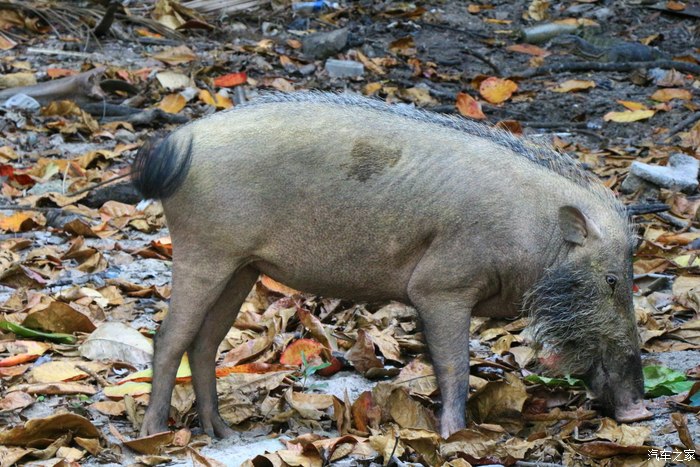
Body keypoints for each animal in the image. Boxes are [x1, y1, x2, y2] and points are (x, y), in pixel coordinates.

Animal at [131, 92, 652, 439]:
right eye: (611, 280)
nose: (641, 411)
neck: (536, 238)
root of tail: (175, 144)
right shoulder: (442, 285)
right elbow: (455, 365)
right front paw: (452, 437)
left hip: (241, 267)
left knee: (204, 343)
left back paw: (224, 434)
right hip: (204, 251)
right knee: (169, 337)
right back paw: (153, 436)